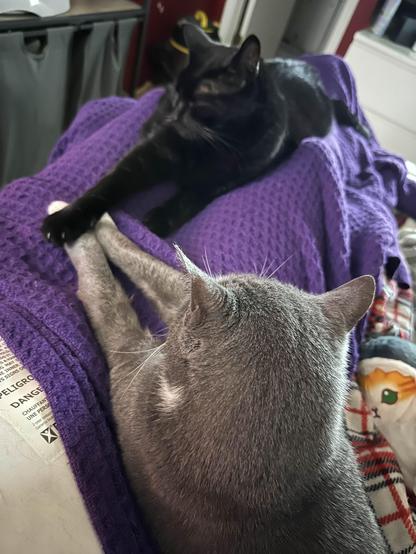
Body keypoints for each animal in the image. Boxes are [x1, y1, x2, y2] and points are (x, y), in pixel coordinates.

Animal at [41, 24, 368, 243]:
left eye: (198, 101)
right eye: (175, 92)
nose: (173, 116)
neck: (209, 143)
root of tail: (306, 67)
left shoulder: (221, 181)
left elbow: (188, 199)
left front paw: (155, 221)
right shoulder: (147, 155)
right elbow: (107, 185)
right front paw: (65, 220)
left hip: (323, 118)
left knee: (339, 103)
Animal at [50, 199, 388, 552]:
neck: (263, 497)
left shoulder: (133, 379)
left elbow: (107, 300)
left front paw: (77, 226)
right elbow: (158, 269)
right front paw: (99, 219)